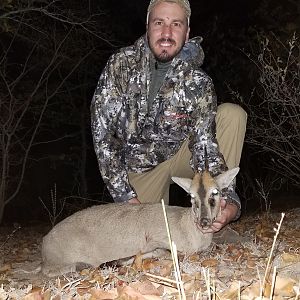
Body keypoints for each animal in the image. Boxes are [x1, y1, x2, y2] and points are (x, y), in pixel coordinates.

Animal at [41, 166, 238, 276]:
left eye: (216, 192)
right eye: (191, 196)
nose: (204, 221)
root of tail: (45, 242)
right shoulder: (154, 240)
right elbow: (162, 253)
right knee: (47, 270)